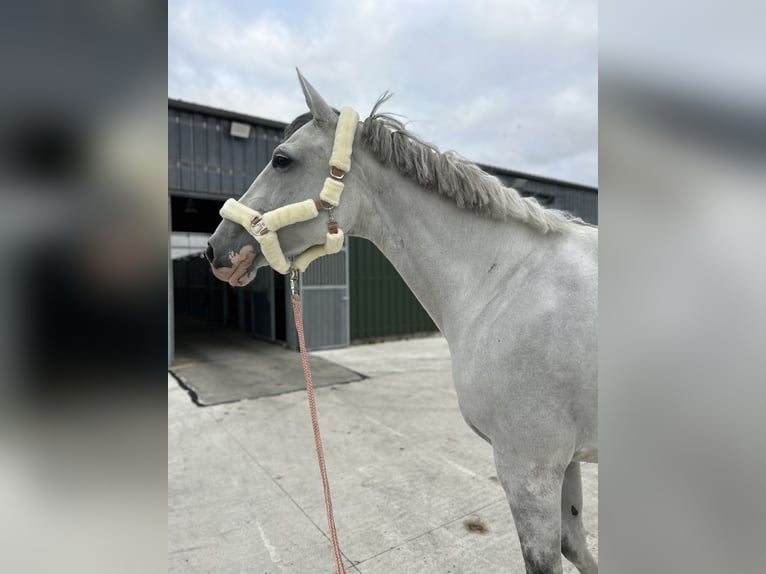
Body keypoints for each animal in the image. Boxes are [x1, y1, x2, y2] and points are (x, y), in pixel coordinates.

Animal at [206, 71, 598, 574]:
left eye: (281, 159)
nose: (215, 249)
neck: (505, 279)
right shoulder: (560, 462)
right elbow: (577, 545)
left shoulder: (529, 467)